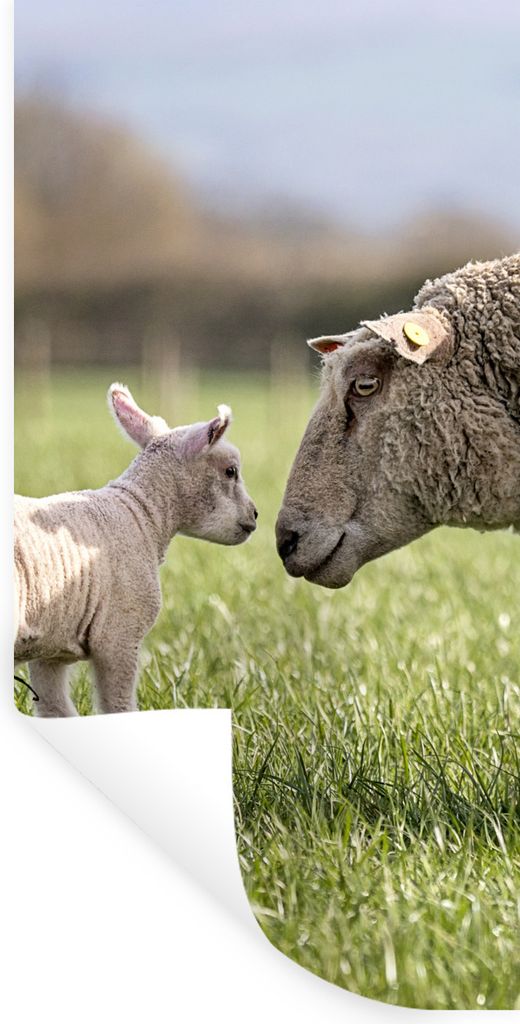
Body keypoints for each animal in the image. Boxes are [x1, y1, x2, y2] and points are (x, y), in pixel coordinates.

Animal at [15, 383, 258, 716]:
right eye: (230, 471)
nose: (255, 515)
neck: (142, 513)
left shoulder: (51, 649)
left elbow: (55, 711)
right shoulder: (119, 634)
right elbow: (119, 707)